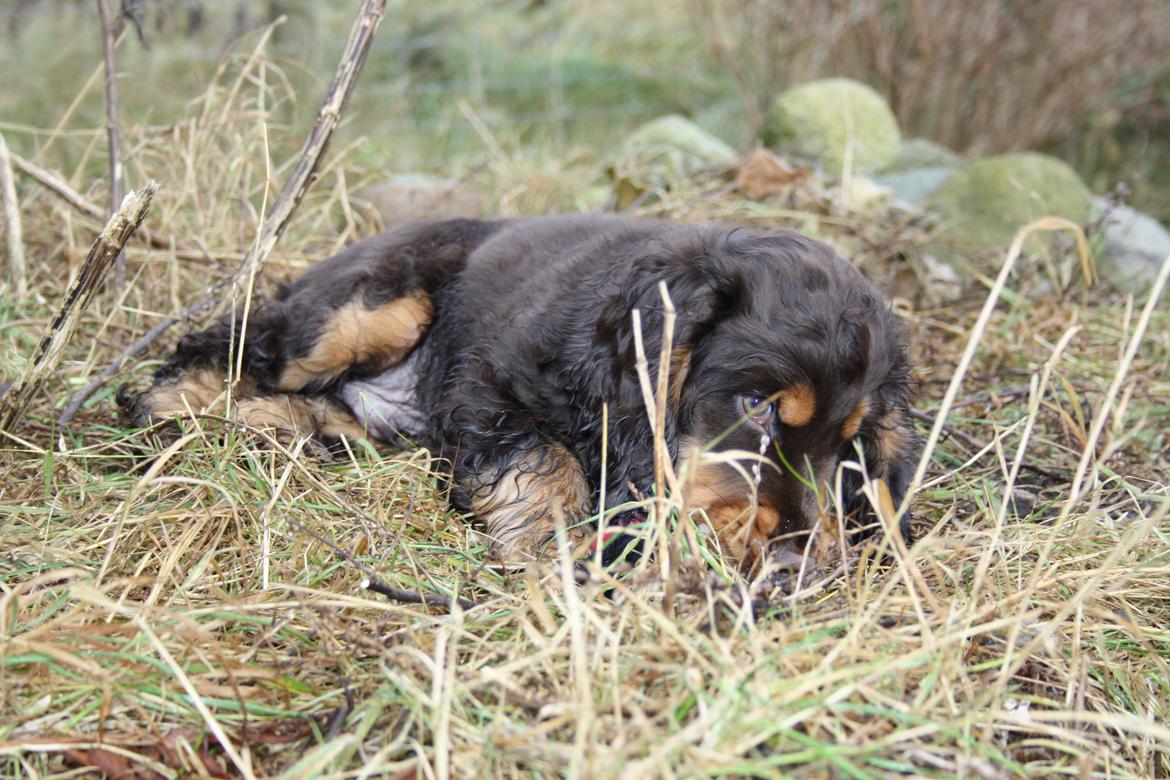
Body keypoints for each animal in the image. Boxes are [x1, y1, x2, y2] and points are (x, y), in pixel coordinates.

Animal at [123, 215, 917, 568]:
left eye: (852, 448)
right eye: (756, 407)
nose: (796, 565)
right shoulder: (486, 390)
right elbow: (546, 461)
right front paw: (552, 548)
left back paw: (282, 427)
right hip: (368, 308)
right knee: (229, 341)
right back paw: (171, 412)